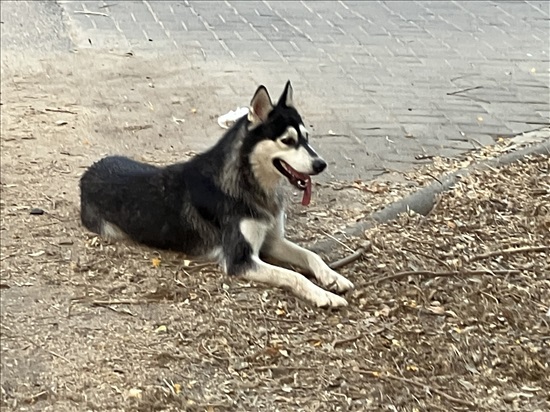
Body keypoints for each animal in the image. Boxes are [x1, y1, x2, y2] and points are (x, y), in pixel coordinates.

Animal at [81, 81, 358, 306]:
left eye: (306, 137)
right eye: (287, 141)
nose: (321, 164)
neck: (248, 182)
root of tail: (88, 172)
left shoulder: (271, 241)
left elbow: (310, 255)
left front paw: (332, 277)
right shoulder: (240, 260)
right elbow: (293, 274)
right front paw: (323, 295)